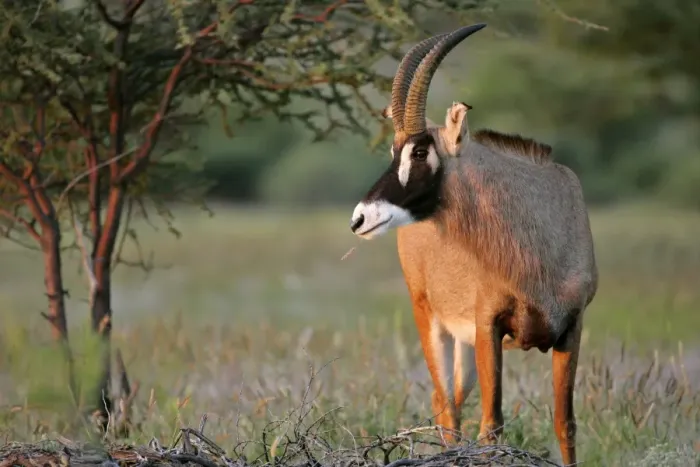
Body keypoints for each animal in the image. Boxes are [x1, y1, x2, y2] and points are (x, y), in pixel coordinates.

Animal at [349, 24, 597, 466]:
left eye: (419, 150)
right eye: (394, 150)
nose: (360, 218)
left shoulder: (572, 328)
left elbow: (565, 424)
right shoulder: (488, 327)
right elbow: (492, 426)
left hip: (462, 340)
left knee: (451, 402)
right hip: (431, 320)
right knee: (446, 405)